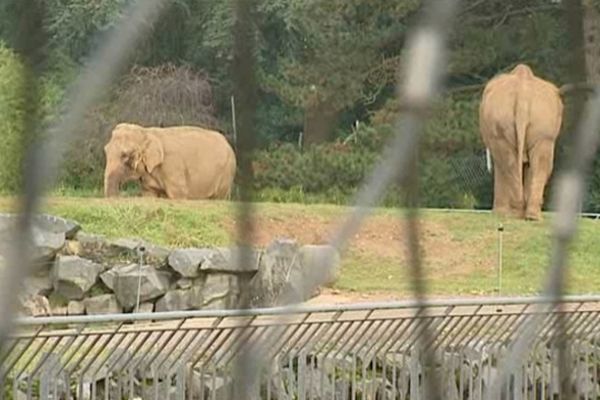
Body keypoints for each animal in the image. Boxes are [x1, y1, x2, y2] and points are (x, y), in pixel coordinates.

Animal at [103, 122, 237, 199]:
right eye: (105, 150)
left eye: (124, 155)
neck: (147, 132)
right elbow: (149, 194)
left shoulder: (173, 166)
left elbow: (178, 194)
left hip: (226, 173)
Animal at [478, 65, 564, 222]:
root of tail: (523, 94)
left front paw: (500, 214)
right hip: (541, 122)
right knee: (539, 162)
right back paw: (530, 216)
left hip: (502, 122)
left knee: (506, 161)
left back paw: (515, 213)